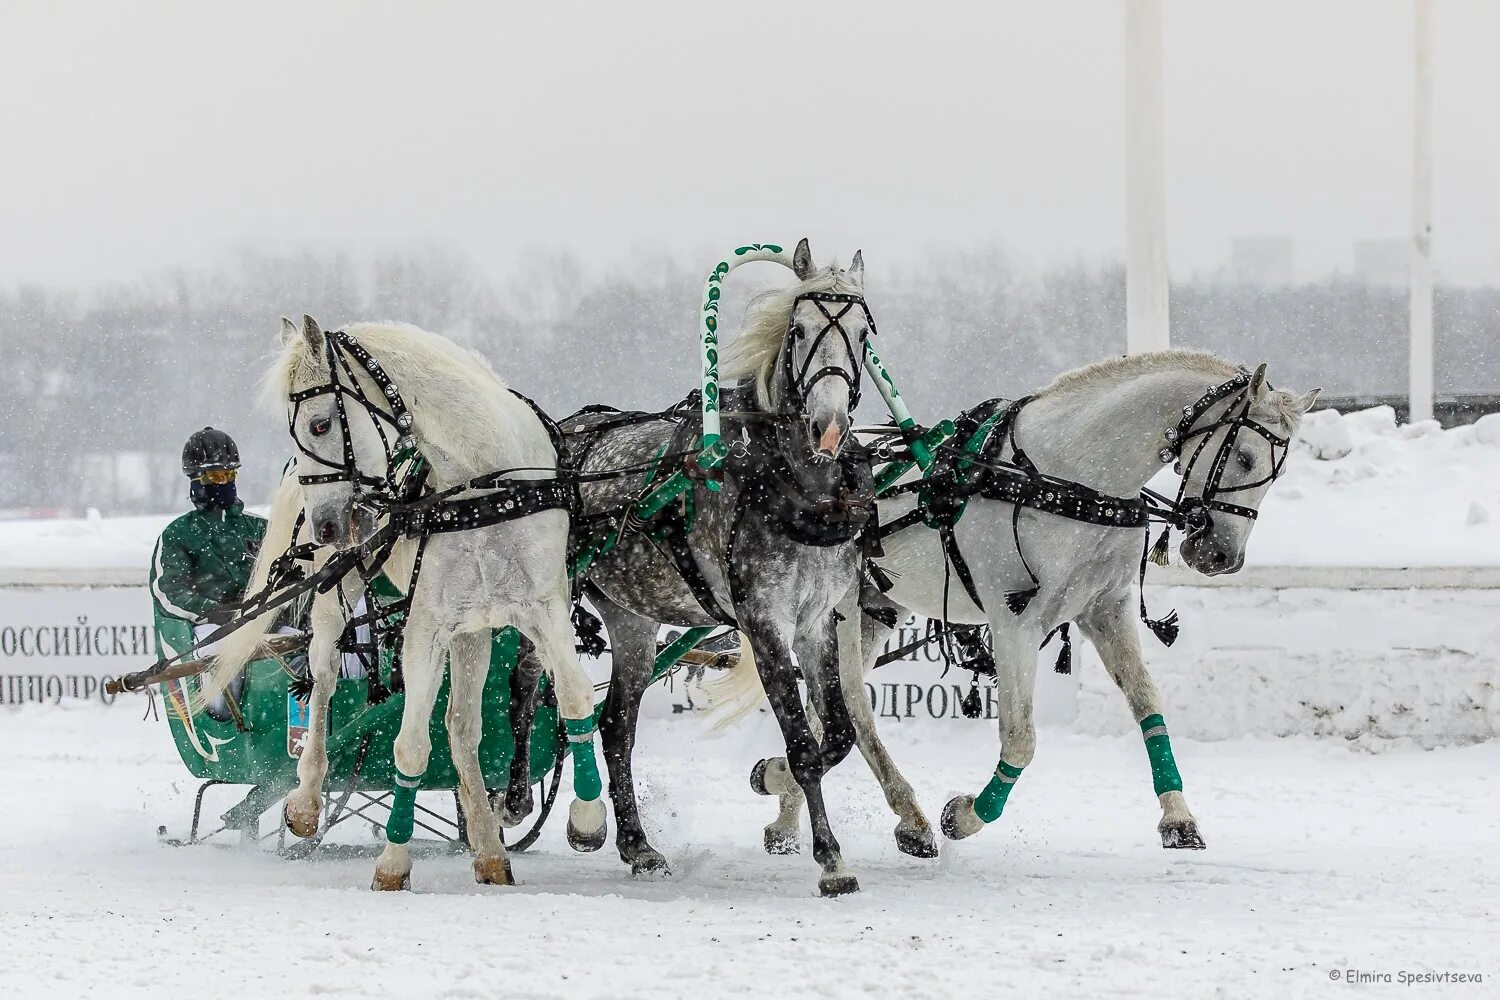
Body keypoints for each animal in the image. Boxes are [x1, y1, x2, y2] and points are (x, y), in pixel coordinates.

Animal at [198, 314, 597, 893]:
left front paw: (588, 819)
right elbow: (409, 744)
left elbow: (573, 697)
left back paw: (487, 848)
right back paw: (307, 799)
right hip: (334, 594)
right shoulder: (425, 625)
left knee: (462, 728)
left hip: (474, 628)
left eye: (320, 425)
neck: (481, 487)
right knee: (321, 680)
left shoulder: (544, 609)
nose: (325, 525)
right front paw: (393, 861)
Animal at [735, 350, 1314, 851]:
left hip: (875, 610)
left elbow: (1148, 705)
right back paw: (893, 812)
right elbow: (1020, 738)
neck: (1068, 478)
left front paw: (1178, 816)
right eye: (1244, 457)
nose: (1222, 556)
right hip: (839, 611)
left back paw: (789, 805)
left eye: (1278, 473)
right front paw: (967, 814)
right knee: (855, 712)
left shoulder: (1106, 610)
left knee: (830, 714)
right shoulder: (1015, 621)